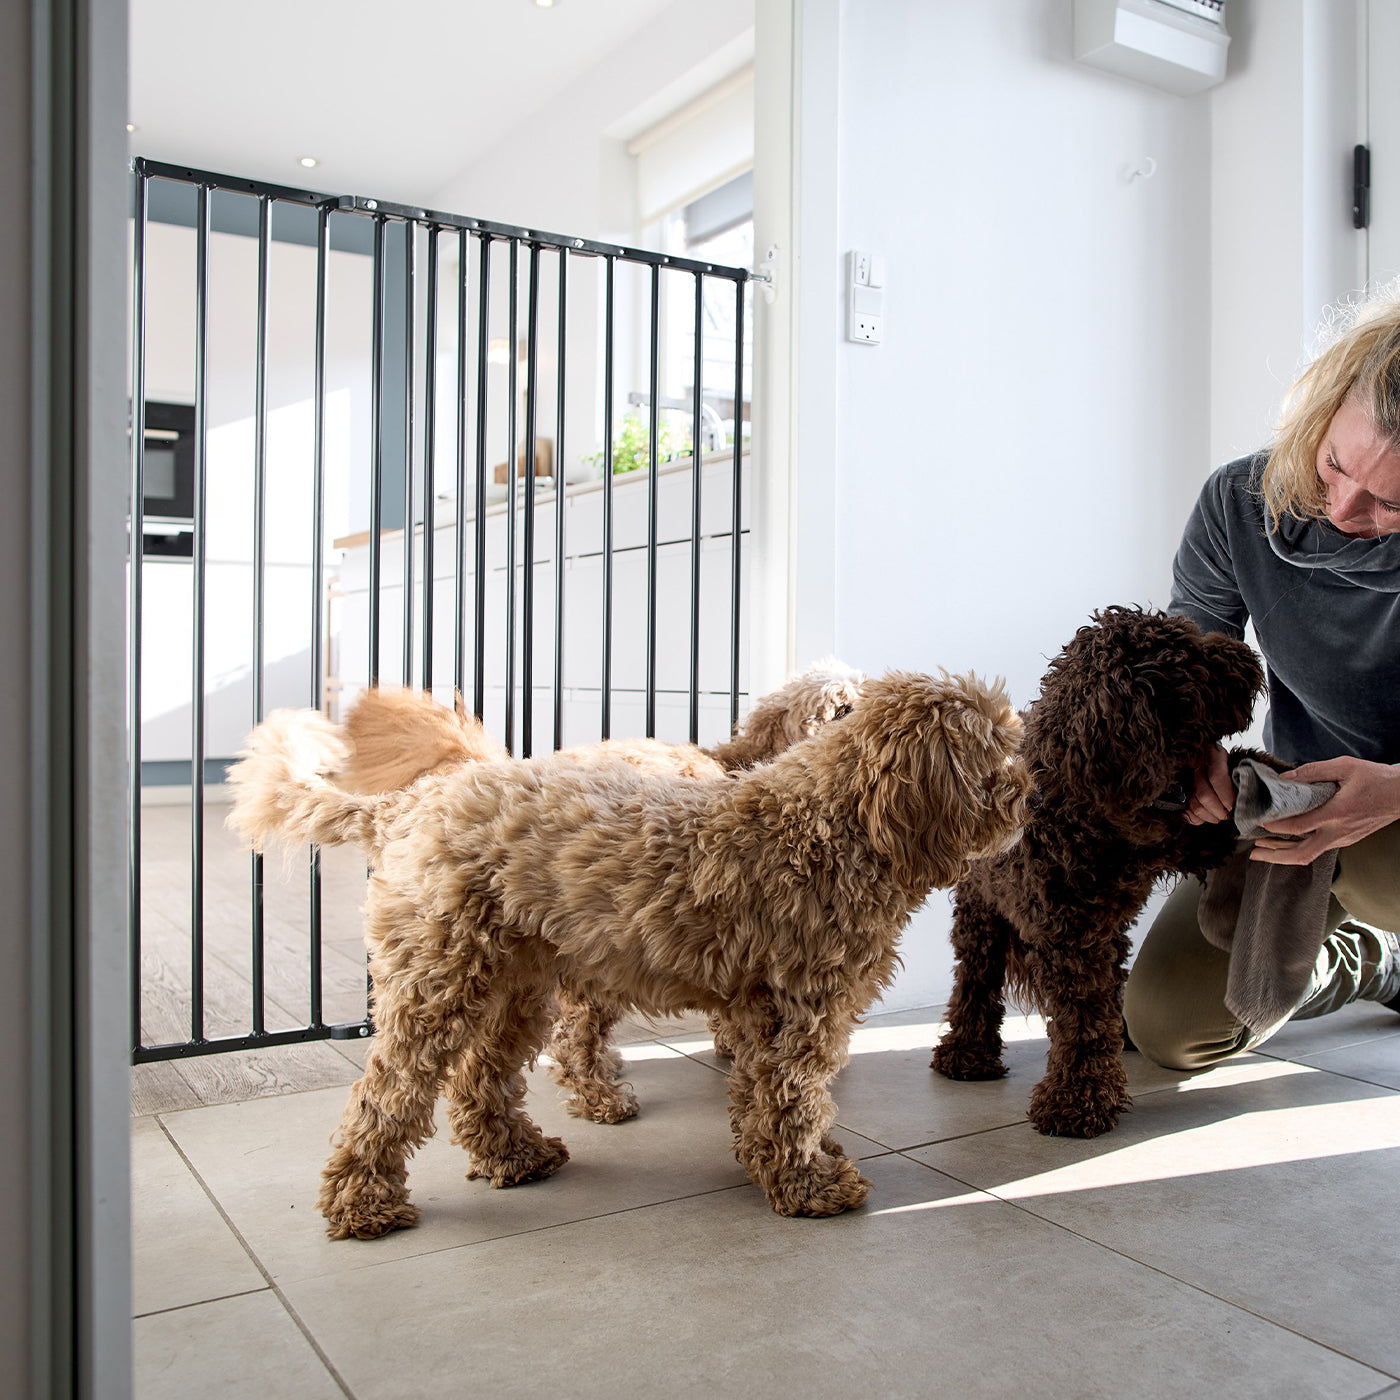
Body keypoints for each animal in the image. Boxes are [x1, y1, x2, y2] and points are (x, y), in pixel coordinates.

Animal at [929, 604, 1271, 1136]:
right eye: (1190, 654)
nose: (1249, 658)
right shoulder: (1067, 936)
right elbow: (1081, 1018)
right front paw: (1079, 1098)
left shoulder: (1167, 839)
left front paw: (1256, 767)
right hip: (981, 911)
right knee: (976, 976)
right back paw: (967, 1053)